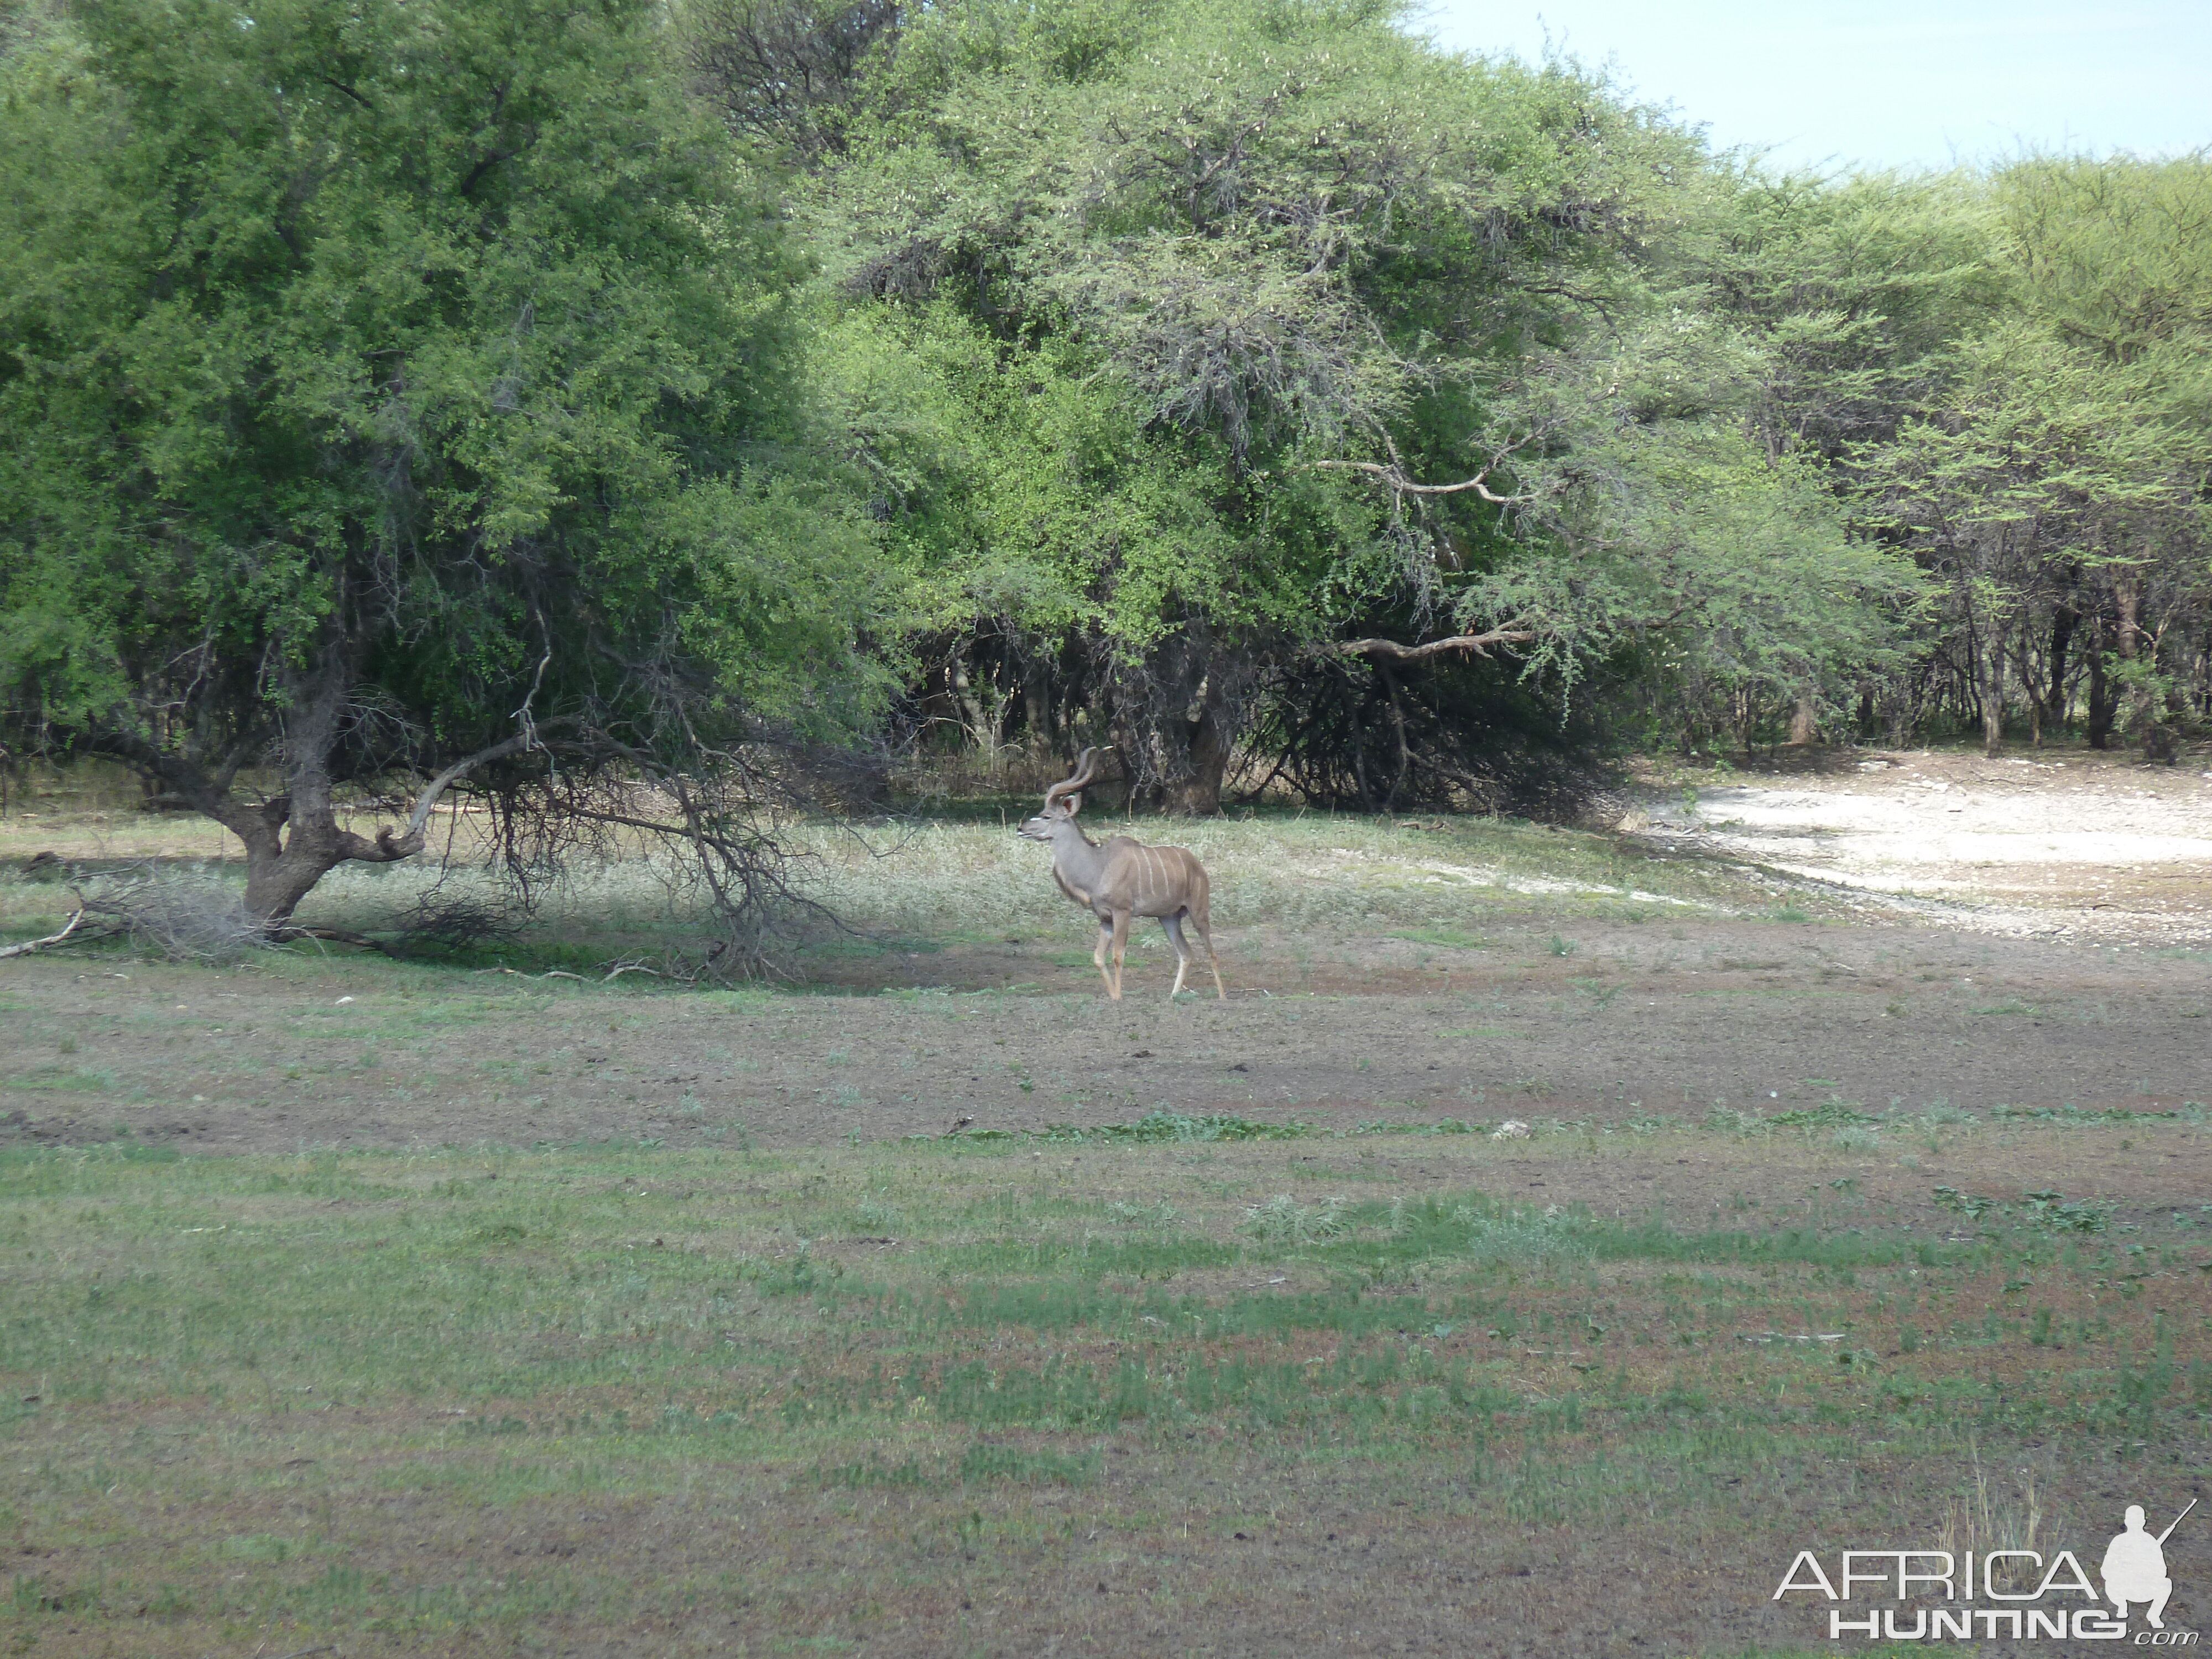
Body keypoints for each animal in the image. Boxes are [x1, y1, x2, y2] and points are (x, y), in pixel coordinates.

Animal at [1018, 752, 1230, 1000]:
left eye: (1046, 816)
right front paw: (1113, 996)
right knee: (1186, 953)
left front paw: (1119, 998)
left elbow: (1118, 955)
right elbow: (1098, 958)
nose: (1021, 829)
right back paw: (1173, 997)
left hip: (1198, 912)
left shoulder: (1123, 912)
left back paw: (1222, 997)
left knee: (1211, 952)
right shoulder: (1105, 918)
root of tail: (1196, 865)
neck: (1098, 866)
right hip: (1168, 918)